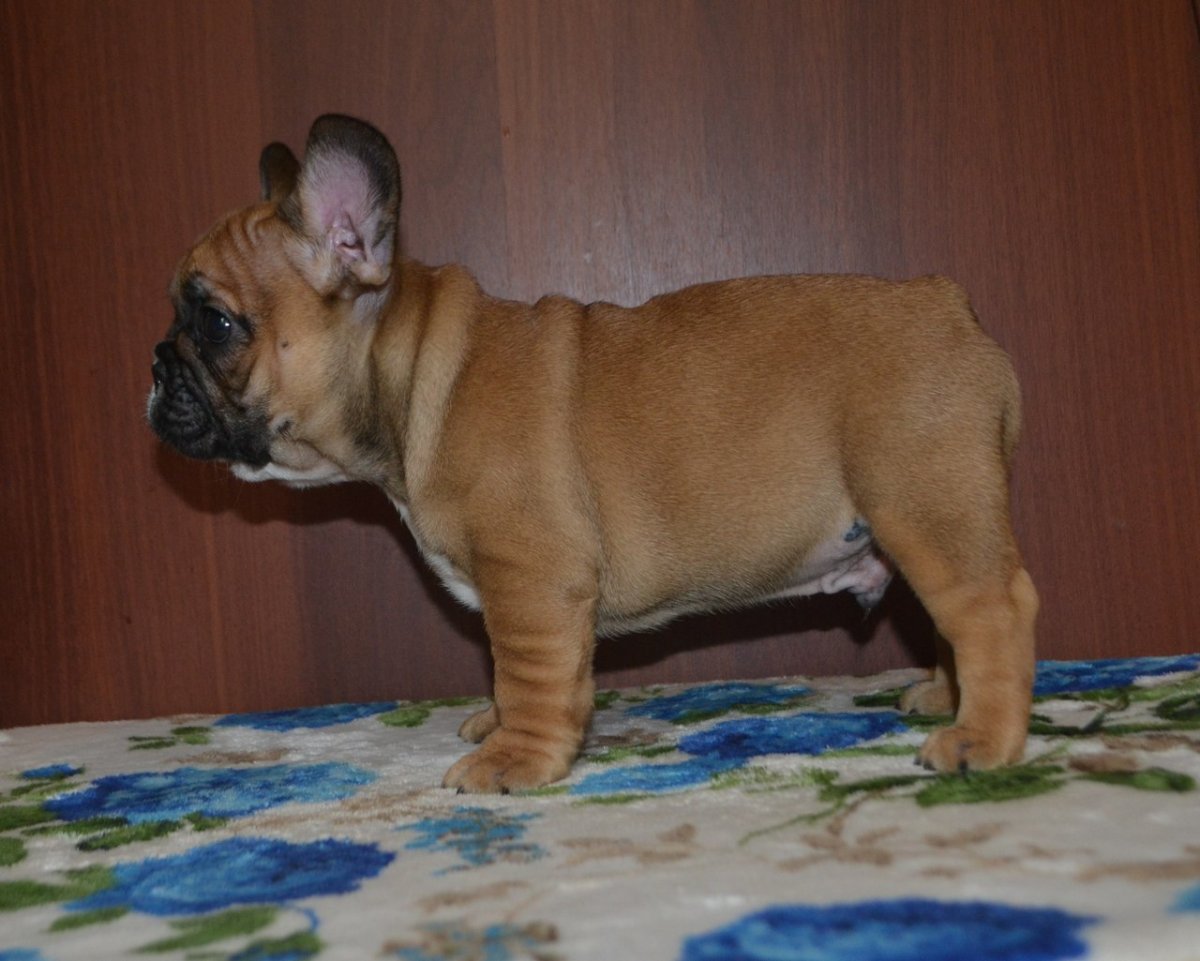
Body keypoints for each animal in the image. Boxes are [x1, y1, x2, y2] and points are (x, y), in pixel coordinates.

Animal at [148, 114, 1038, 793]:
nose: (154, 366)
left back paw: (982, 740)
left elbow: (531, 674)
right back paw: (946, 698)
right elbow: (505, 669)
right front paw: (496, 720)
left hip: (923, 501)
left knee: (991, 609)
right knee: (952, 620)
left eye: (215, 323)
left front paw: (513, 758)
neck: (416, 373)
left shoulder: (531, 580)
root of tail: (949, 304)